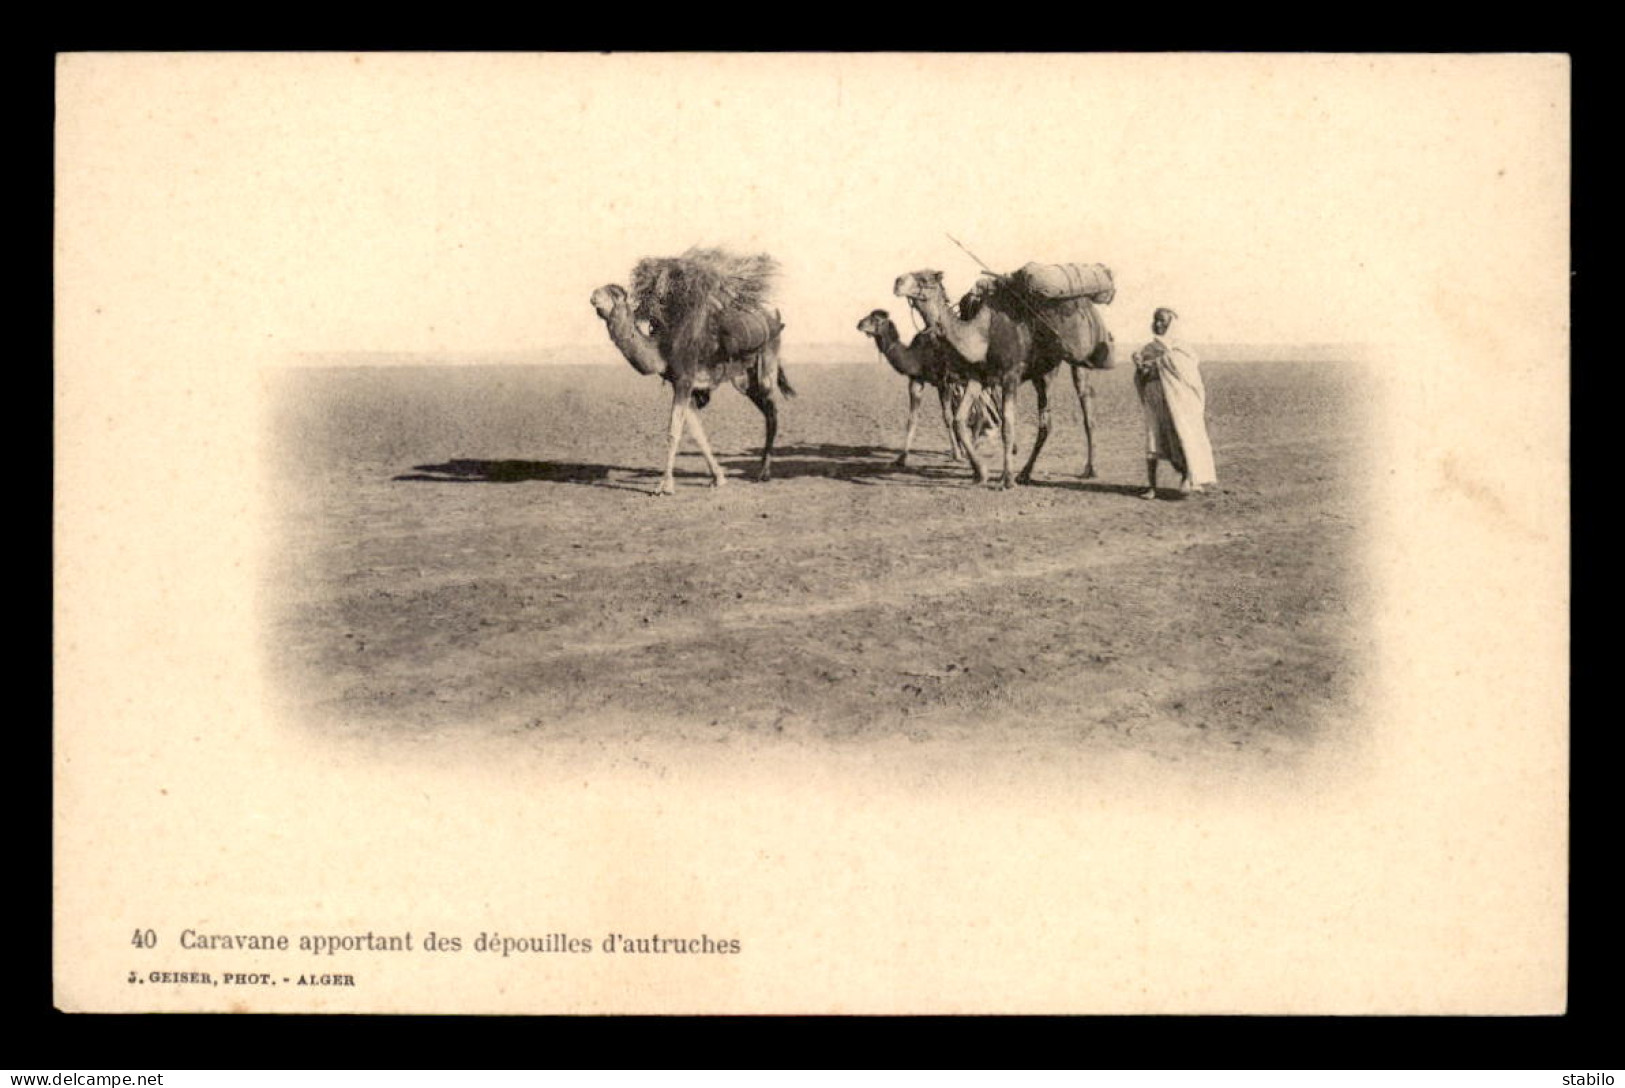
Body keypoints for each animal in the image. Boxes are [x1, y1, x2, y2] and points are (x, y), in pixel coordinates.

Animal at [858, 308, 994, 467]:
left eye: (876, 320)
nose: (860, 324)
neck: (917, 356)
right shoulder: (917, 380)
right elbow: (912, 419)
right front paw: (901, 458)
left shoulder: (945, 382)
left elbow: (948, 418)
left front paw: (957, 455)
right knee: (981, 413)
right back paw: (973, 447)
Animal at [897, 271, 1111, 493]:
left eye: (924, 279)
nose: (898, 282)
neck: (982, 333)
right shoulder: (978, 377)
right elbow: (959, 419)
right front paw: (980, 473)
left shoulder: (1010, 376)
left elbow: (1007, 426)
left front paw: (1007, 479)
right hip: (1042, 373)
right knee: (1046, 422)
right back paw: (1024, 473)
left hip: (1078, 356)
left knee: (1086, 406)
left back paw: (1090, 469)